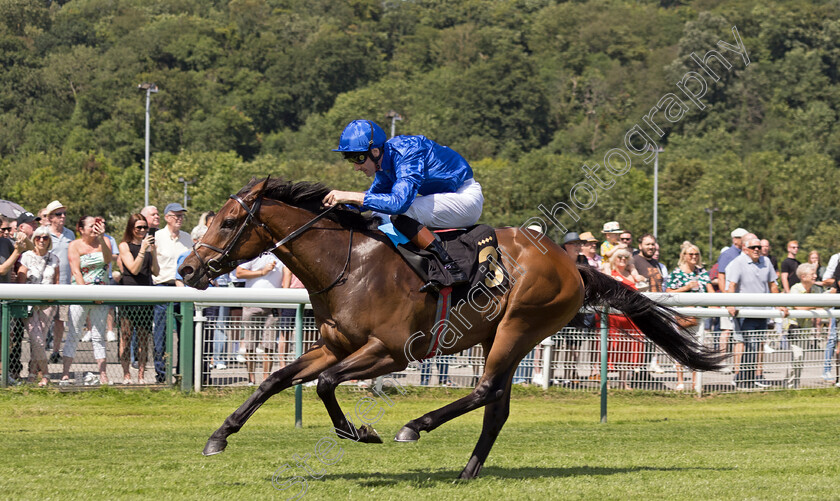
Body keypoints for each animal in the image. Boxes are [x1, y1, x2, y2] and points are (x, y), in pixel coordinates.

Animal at [180, 178, 724, 478]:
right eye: (211, 220)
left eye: (228, 222)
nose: (187, 269)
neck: (349, 264)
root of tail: (572, 263)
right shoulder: (334, 344)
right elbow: (274, 380)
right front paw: (219, 437)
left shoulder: (390, 351)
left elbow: (327, 385)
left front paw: (360, 432)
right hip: (499, 335)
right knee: (497, 405)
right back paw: (467, 471)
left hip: (518, 325)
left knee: (485, 391)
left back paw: (414, 427)